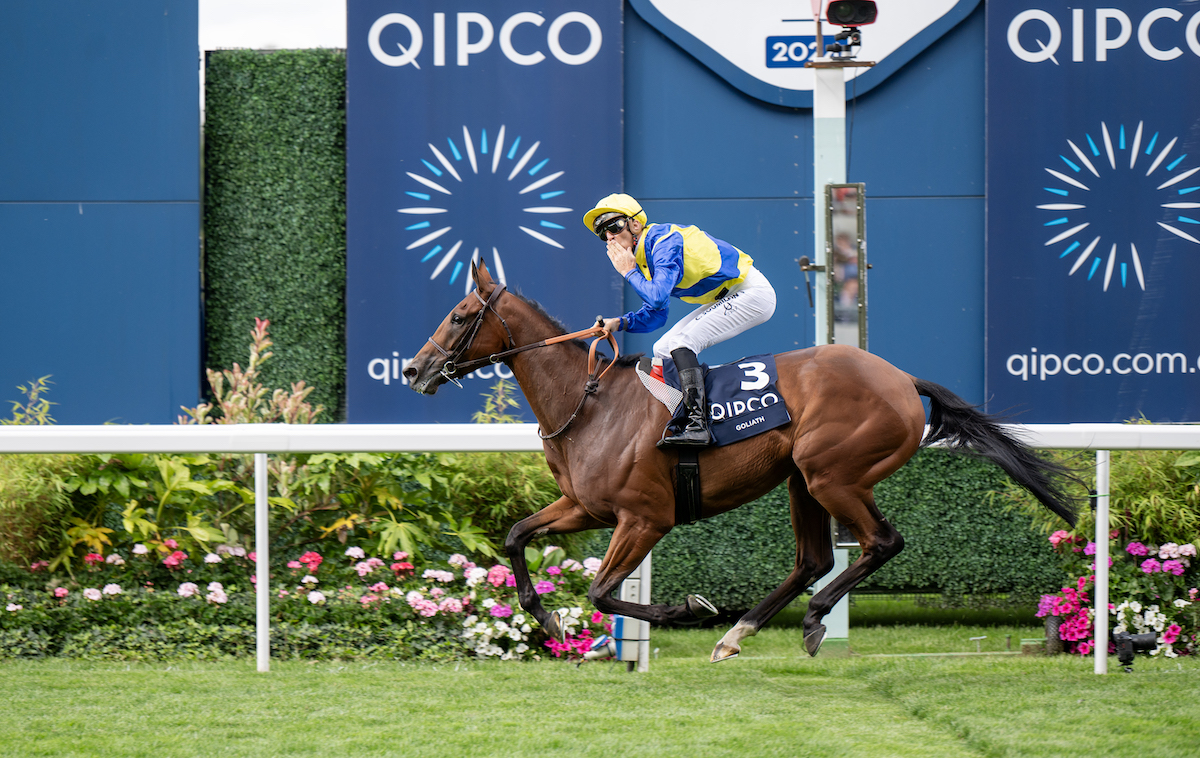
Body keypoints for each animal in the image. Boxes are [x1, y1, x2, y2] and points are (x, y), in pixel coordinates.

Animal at [403, 261, 1080, 662]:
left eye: (461, 316)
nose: (413, 368)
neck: (589, 403)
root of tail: (899, 377)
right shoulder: (584, 506)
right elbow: (517, 536)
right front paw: (549, 621)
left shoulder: (644, 517)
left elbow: (602, 590)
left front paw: (685, 610)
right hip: (802, 480)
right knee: (813, 559)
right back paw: (740, 632)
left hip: (833, 473)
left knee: (882, 542)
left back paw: (807, 620)